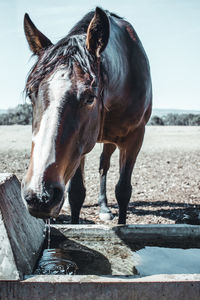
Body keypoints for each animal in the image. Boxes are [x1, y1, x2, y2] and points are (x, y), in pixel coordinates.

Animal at [21, 7, 152, 224]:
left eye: (90, 97)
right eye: (31, 93)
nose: (40, 196)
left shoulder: (135, 138)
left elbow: (123, 191)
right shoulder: (79, 147)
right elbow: (76, 194)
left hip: (110, 141)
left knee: (103, 166)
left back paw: (104, 207)